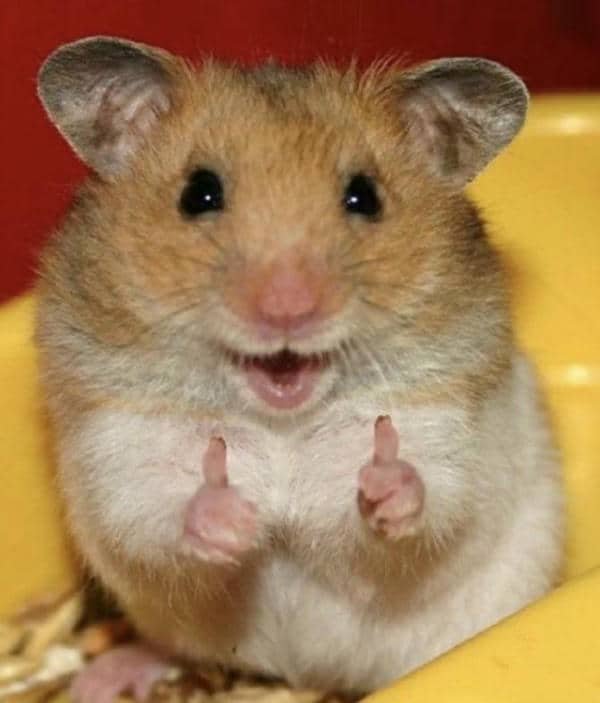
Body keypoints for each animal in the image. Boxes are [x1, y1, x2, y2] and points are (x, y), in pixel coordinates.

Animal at [35, 36, 563, 701]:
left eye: (364, 196)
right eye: (198, 193)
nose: (288, 308)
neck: (280, 421)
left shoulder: (448, 434)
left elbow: (429, 501)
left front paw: (383, 481)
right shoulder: (122, 451)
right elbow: (155, 514)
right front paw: (233, 514)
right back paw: (101, 679)